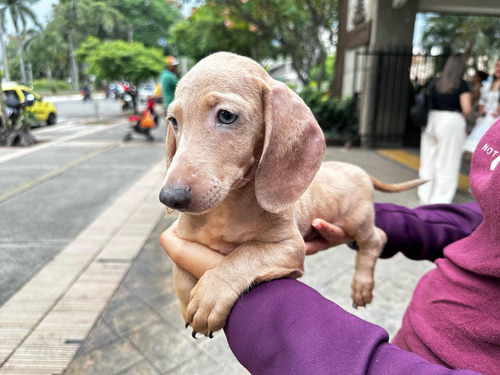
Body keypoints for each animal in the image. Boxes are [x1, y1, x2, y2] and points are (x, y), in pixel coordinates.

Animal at [161, 53, 426, 338]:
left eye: (227, 115)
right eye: (174, 121)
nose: (170, 197)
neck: (226, 208)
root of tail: (360, 170)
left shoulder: (290, 246)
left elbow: (245, 254)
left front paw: (210, 295)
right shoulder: (183, 240)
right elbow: (179, 274)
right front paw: (188, 301)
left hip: (358, 221)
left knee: (377, 239)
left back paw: (362, 285)